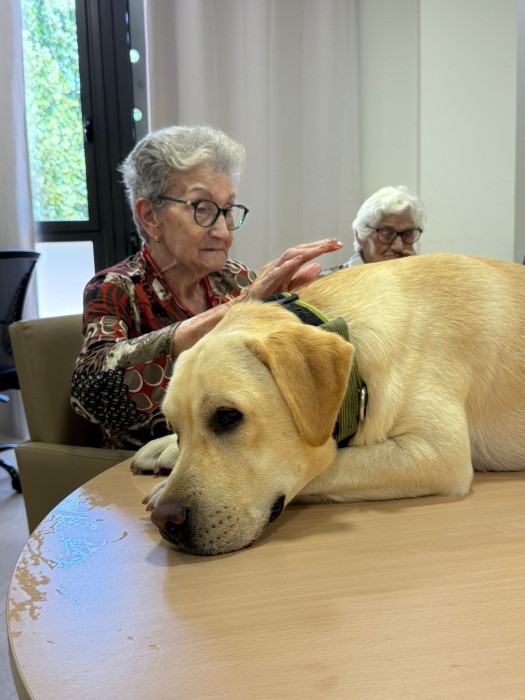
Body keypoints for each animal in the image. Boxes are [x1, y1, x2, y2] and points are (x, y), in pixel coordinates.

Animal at [131, 253, 525, 556]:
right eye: (175, 428)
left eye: (228, 416)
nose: (165, 522)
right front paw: (162, 449)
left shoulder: (437, 453)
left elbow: (328, 465)